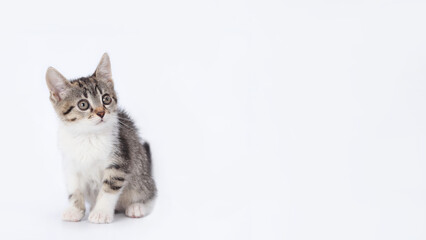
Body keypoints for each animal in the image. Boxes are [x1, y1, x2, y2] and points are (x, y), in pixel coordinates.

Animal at [45, 53, 158, 224]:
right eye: (83, 104)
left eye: (106, 99)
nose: (101, 112)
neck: (88, 136)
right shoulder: (70, 164)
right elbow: (74, 189)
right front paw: (75, 210)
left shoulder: (119, 158)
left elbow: (109, 187)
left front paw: (101, 212)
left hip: (141, 176)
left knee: (149, 194)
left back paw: (137, 207)